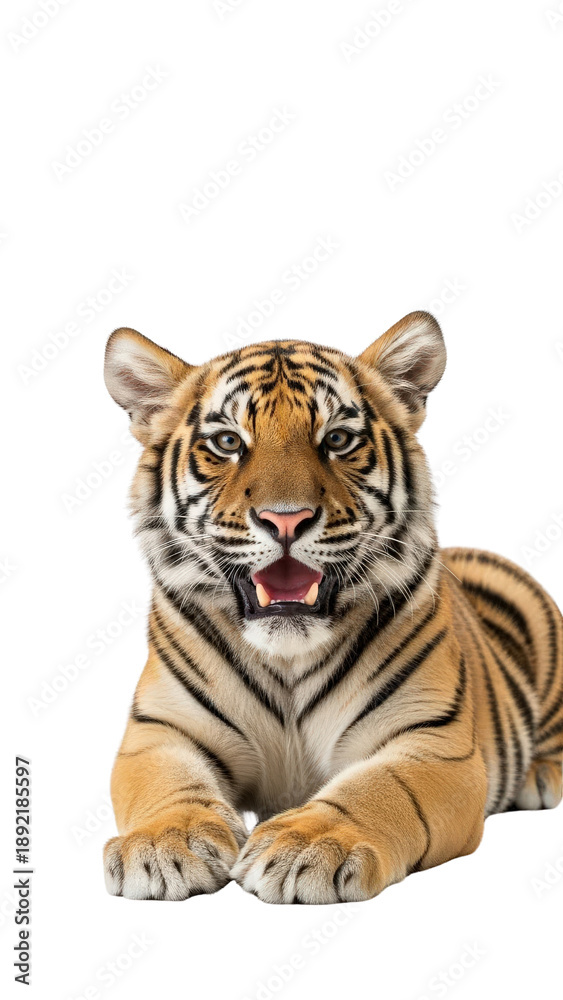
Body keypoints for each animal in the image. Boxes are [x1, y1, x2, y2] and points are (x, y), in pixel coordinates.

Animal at [102, 311, 563, 904]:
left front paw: (308, 845)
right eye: (227, 442)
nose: (286, 519)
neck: (287, 657)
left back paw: (540, 776)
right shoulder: (159, 731)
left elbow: (380, 789)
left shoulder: (433, 743)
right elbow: (166, 784)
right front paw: (165, 843)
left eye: (338, 440)